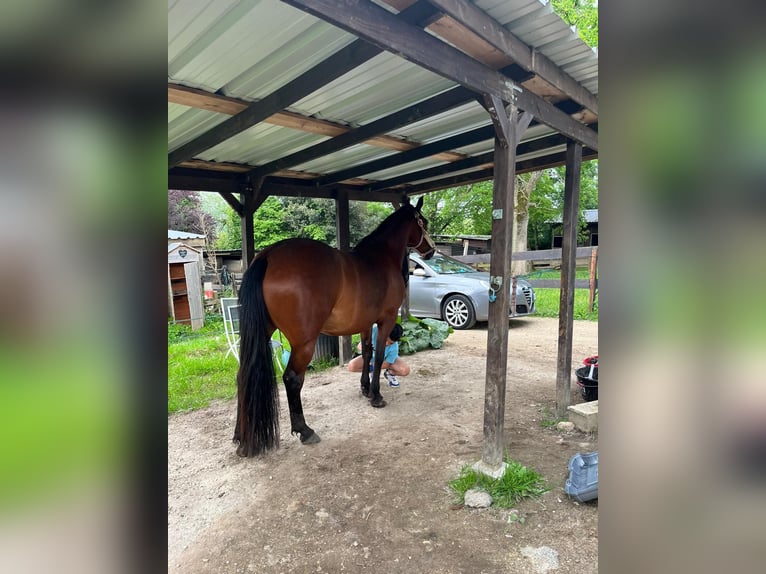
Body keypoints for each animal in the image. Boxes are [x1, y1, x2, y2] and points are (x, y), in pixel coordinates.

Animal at [234, 198, 436, 460]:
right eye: (424, 222)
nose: (431, 250)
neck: (381, 257)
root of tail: (269, 255)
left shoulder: (364, 322)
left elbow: (367, 353)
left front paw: (365, 388)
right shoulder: (387, 319)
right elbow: (380, 354)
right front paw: (376, 396)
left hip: (265, 331)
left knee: (243, 376)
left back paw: (240, 437)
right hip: (304, 343)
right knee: (292, 379)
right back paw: (305, 430)